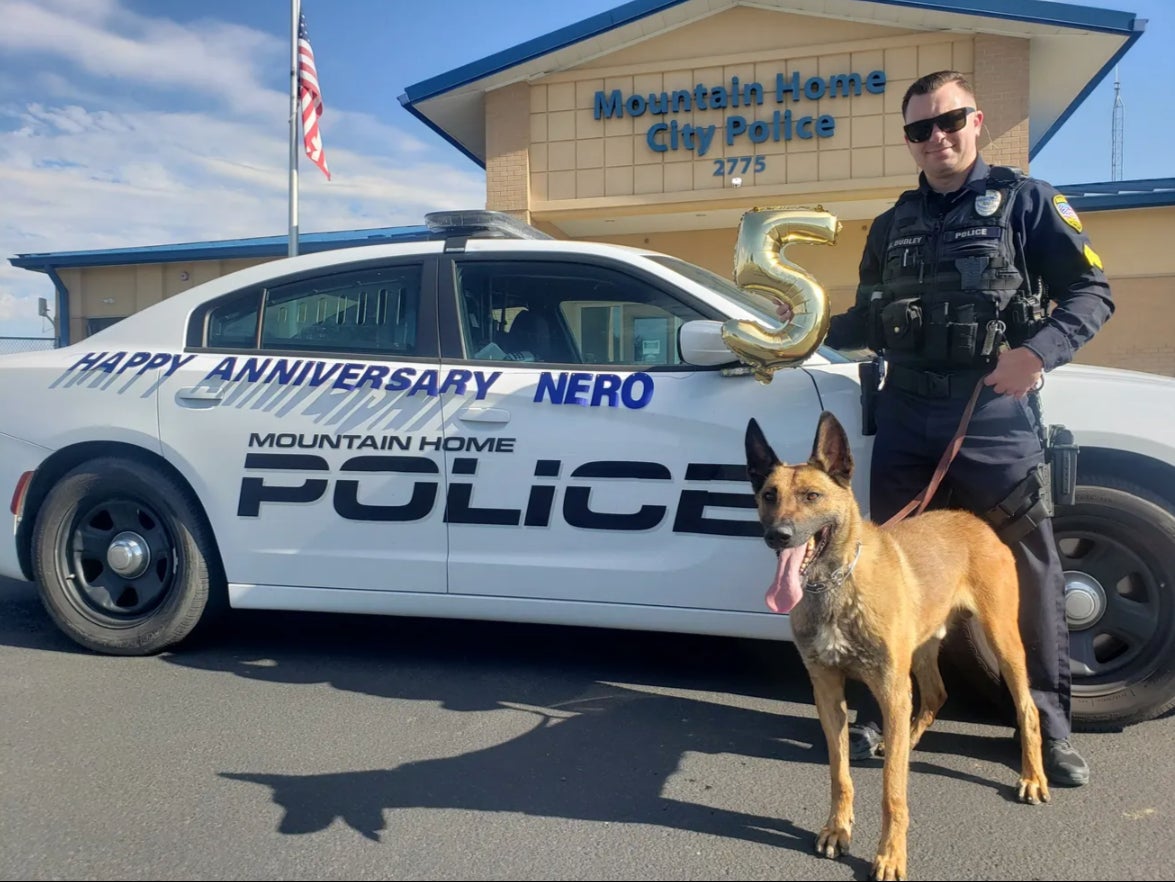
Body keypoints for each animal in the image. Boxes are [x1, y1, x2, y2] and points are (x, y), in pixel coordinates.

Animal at [742, 413, 1048, 882]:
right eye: (769, 496)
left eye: (812, 496)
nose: (779, 536)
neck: (836, 586)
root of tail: (971, 519)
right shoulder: (828, 693)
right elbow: (839, 772)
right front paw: (838, 828)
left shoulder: (889, 688)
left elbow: (893, 790)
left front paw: (889, 854)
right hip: (921, 650)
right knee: (935, 694)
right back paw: (903, 740)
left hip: (1002, 642)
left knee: (1028, 708)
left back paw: (1033, 776)